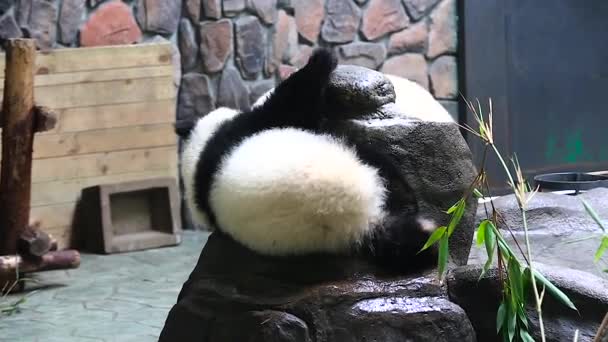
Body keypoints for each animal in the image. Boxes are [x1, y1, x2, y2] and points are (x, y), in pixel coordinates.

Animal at [173, 48, 454, 272]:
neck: (200, 153)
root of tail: (359, 215)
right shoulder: (251, 124)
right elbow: (292, 100)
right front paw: (321, 58)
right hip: (354, 156)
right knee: (388, 178)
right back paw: (425, 228)